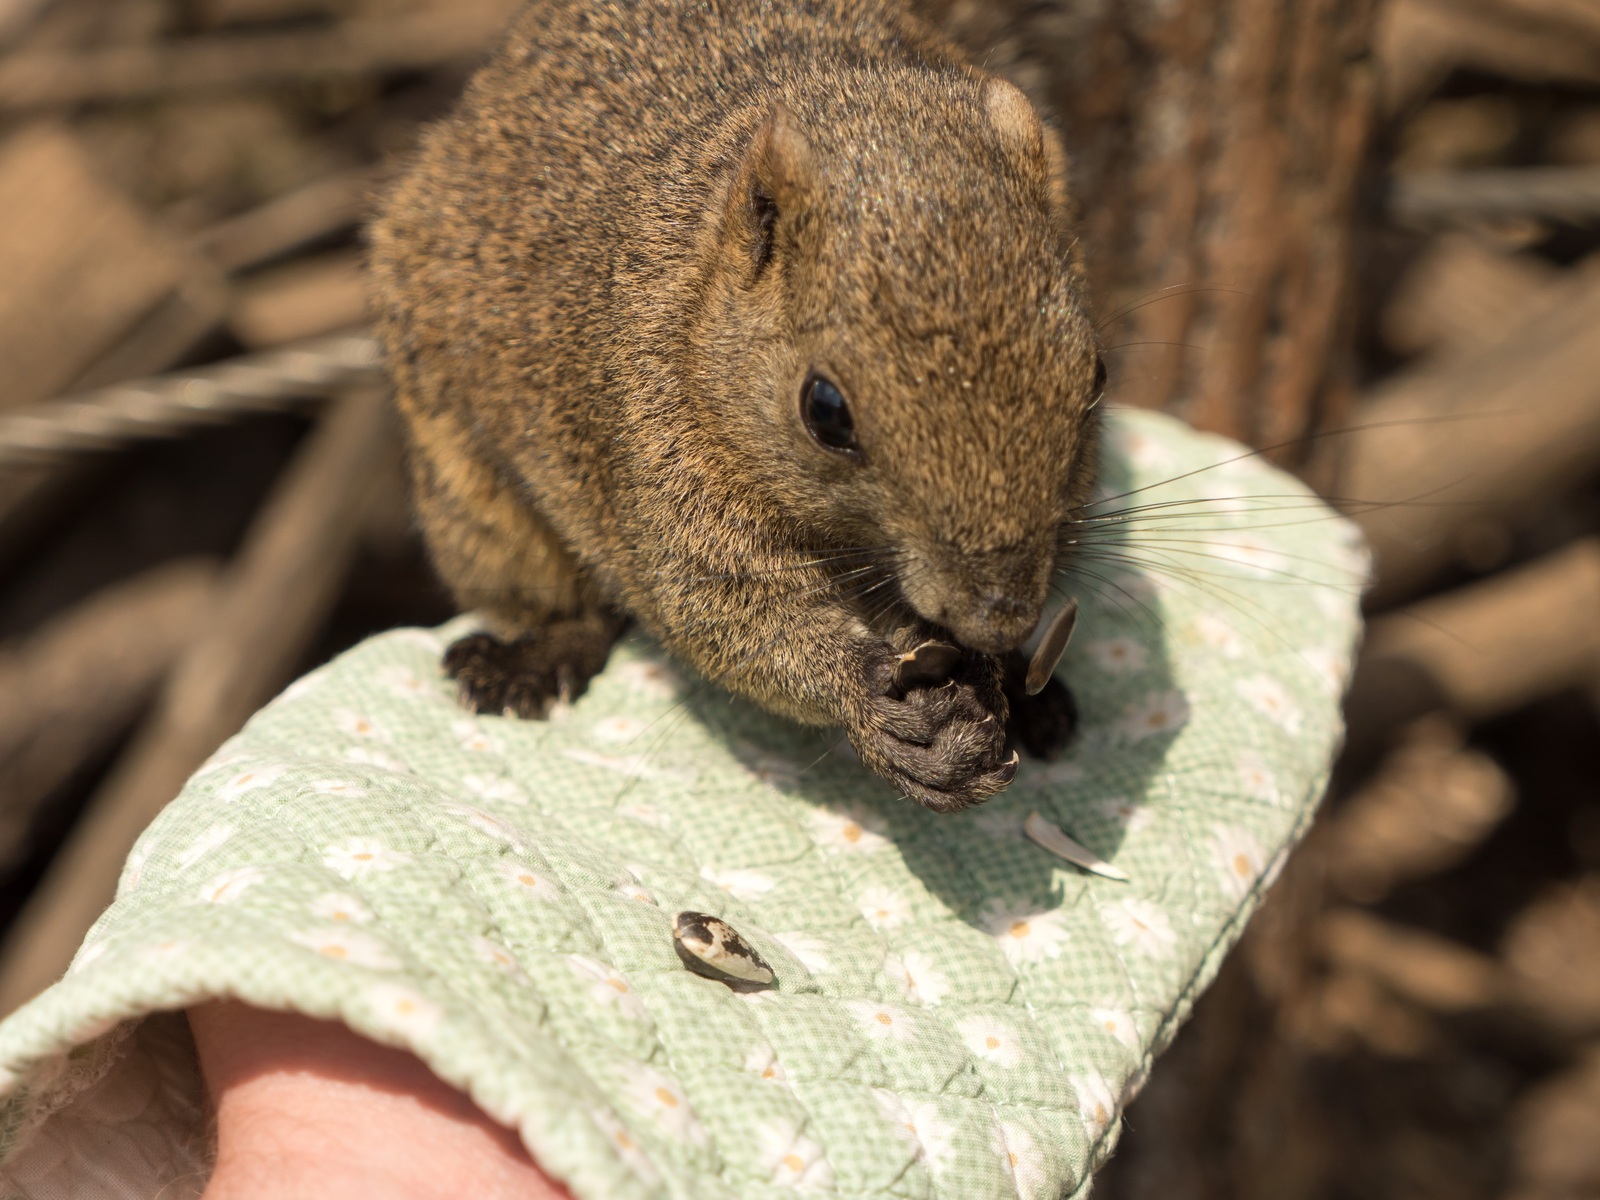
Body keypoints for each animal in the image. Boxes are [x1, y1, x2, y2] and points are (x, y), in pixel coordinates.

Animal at [368, 0, 1107, 819]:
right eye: (826, 411)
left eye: (1097, 375)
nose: (999, 616)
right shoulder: (657, 451)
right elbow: (724, 613)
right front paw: (873, 703)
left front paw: (998, 678)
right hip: (471, 493)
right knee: (558, 601)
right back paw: (529, 660)